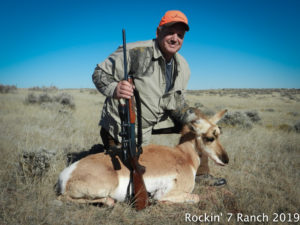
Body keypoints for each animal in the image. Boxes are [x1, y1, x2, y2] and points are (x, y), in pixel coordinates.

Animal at [56, 109, 230, 206]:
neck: (183, 155)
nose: (226, 160)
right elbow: (196, 197)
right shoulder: (167, 193)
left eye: (219, 133)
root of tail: (67, 175)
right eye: (210, 137)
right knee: (64, 198)